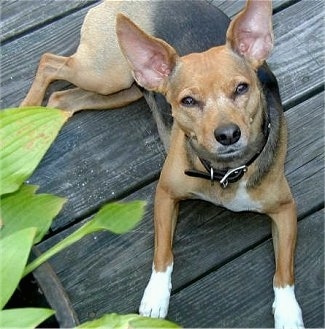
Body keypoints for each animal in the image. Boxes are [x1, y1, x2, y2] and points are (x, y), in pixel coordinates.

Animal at [20, 1, 304, 326]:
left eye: (242, 88)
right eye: (188, 101)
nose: (228, 135)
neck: (224, 171)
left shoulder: (285, 210)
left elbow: (285, 271)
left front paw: (288, 312)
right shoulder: (165, 194)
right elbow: (163, 253)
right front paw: (155, 296)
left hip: (124, 88)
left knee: (61, 99)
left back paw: (36, 125)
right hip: (105, 75)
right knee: (49, 62)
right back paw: (24, 114)